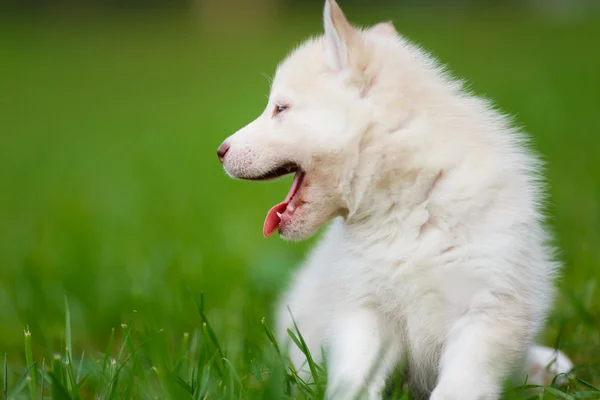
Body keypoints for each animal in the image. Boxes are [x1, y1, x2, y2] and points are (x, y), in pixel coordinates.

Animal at [218, 0, 576, 398]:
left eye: (280, 109)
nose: (220, 151)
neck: (408, 200)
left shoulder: (488, 309)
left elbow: (461, 383)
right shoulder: (365, 310)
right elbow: (354, 376)